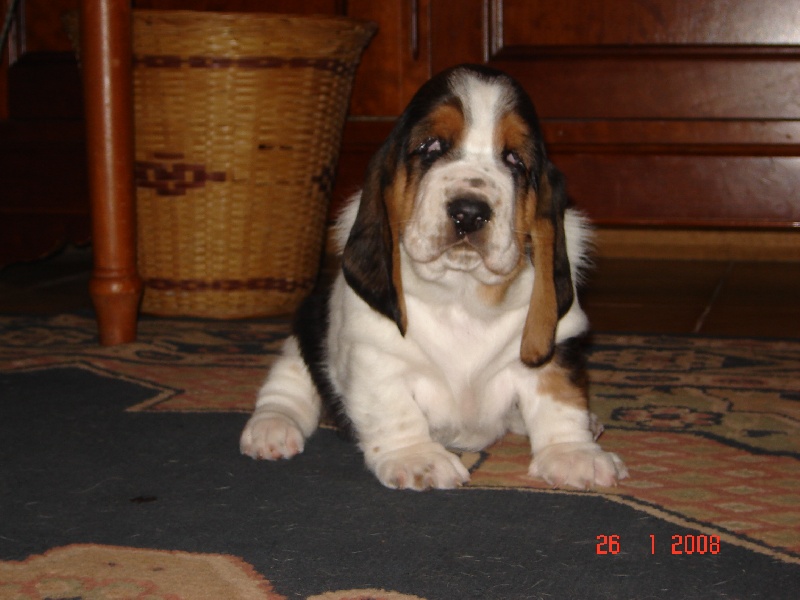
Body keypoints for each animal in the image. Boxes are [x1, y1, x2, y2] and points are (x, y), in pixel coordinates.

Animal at [240, 64, 628, 491]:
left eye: (514, 160)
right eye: (431, 147)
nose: (469, 212)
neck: (462, 293)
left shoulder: (556, 343)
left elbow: (558, 398)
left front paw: (573, 455)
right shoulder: (375, 355)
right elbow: (392, 410)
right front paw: (417, 459)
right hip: (305, 330)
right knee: (287, 385)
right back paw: (272, 429)